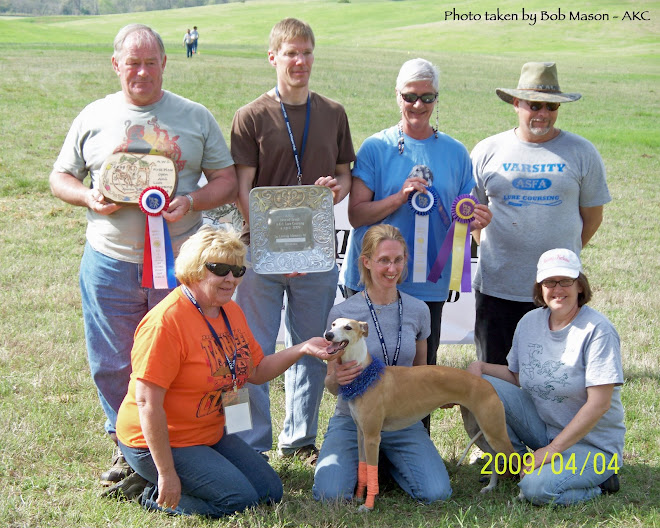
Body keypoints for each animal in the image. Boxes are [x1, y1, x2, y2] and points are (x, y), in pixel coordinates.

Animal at [324, 318, 516, 512]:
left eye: (348, 327)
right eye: (333, 324)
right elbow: (363, 467)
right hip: (477, 429)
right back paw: (491, 486)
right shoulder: (361, 433)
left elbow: (372, 470)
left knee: (517, 459)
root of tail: (488, 384)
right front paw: (358, 498)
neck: (365, 375)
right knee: (494, 456)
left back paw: (520, 495)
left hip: (495, 433)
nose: (328, 335)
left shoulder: (372, 437)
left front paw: (368, 505)